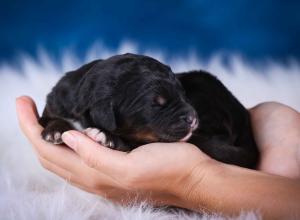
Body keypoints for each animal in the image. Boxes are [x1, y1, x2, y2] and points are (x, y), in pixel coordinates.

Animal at [39, 52, 258, 168]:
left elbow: (131, 143)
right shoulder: (56, 102)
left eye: (183, 94)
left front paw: (106, 136)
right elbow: (51, 117)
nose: (193, 117)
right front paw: (55, 131)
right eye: (156, 105)